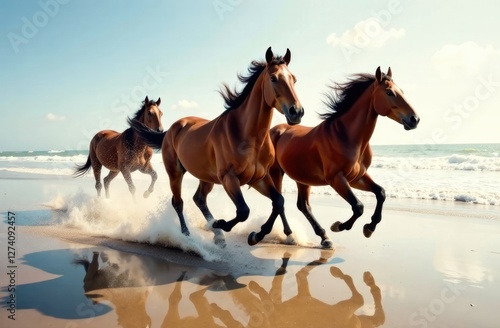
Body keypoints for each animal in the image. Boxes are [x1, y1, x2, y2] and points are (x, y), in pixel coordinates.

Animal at [131, 46, 302, 246]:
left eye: (293, 79)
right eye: (273, 78)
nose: (297, 112)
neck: (249, 136)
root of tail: (170, 130)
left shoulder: (259, 178)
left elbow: (279, 202)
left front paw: (255, 236)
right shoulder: (229, 178)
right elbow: (243, 211)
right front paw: (221, 224)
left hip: (206, 177)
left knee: (199, 199)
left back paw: (217, 234)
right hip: (175, 172)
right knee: (178, 202)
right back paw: (188, 234)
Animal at [268, 67, 420, 249]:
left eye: (402, 91)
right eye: (389, 92)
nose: (414, 119)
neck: (346, 136)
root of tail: (274, 130)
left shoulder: (356, 177)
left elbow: (381, 193)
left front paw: (369, 227)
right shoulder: (337, 179)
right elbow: (358, 206)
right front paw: (339, 226)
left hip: (302, 179)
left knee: (303, 206)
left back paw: (324, 238)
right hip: (276, 173)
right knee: (280, 203)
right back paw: (291, 236)